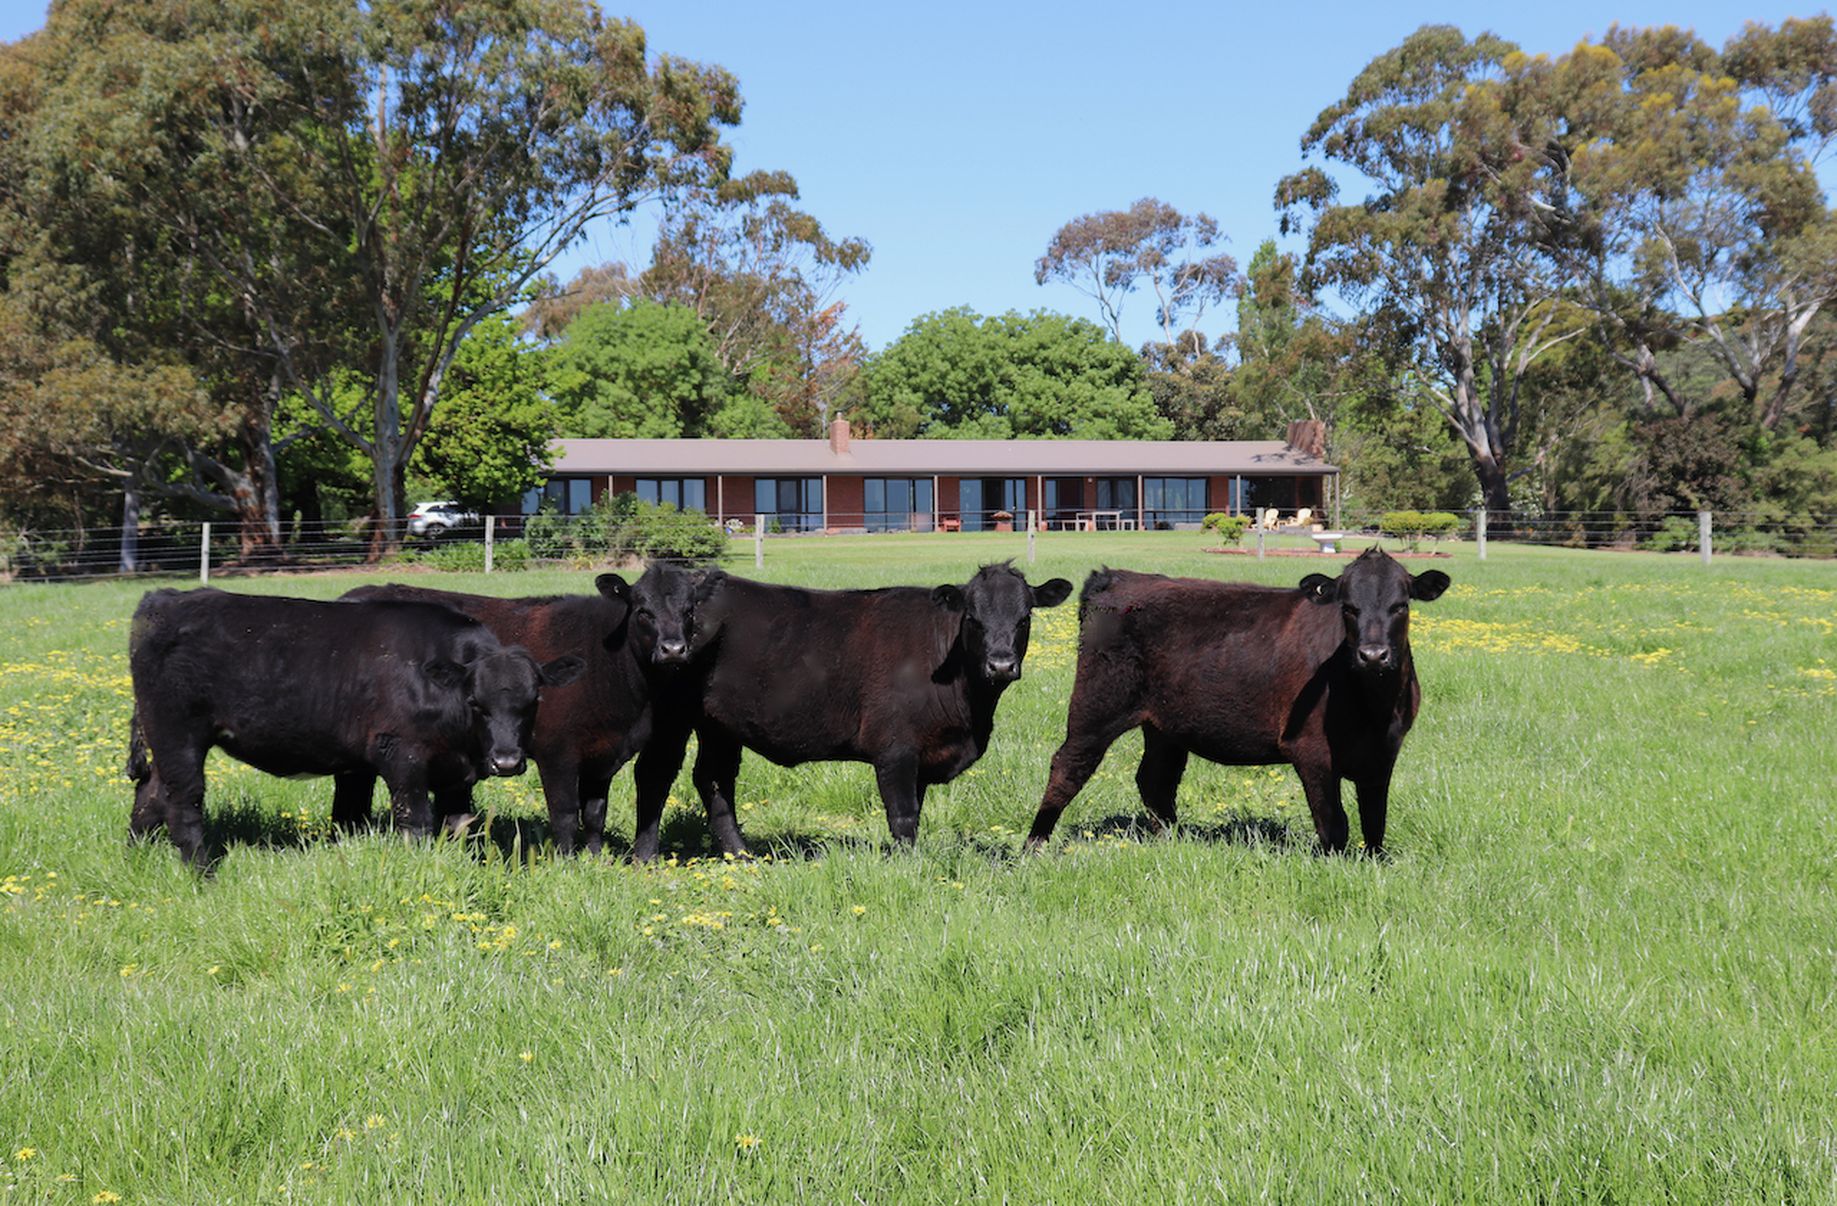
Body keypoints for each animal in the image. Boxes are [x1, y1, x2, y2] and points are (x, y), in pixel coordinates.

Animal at [127, 587, 580, 859]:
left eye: (534, 701)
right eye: (476, 702)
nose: (506, 761)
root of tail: (165, 599)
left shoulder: (456, 774)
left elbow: (458, 826)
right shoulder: (402, 756)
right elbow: (416, 822)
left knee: (149, 797)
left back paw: (138, 858)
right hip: (178, 736)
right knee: (184, 801)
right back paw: (203, 873)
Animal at [341, 565, 712, 855]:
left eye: (689, 612)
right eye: (643, 611)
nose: (673, 649)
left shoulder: (603, 753)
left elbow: (595, 813)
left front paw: (595, 857)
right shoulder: (558, 751)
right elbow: (565, 812)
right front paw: (566, 862)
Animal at [650, 561, 1072, 848]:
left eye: (1025, 617)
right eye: (973, 617)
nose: (1000, 664)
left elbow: (914, 811)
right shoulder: (895, 750)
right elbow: (903, 816)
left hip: (719, 725)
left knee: (713, 778)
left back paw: (740, 853)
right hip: (675, 717)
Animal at [1028, 550, 1440, 851]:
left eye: (1401, 605)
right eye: (1348, 607)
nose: (1373, 655)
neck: (1373, 707)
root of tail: (1117, 577)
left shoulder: (1383, 752)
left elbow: (1374, 819)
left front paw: (1373, 862)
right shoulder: (1310, 749)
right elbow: (1334, 823)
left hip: (1165, 726)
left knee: (1155, 780)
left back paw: (1173, 841)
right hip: (1095, 707)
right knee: (1068, 767)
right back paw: (1034, 844)